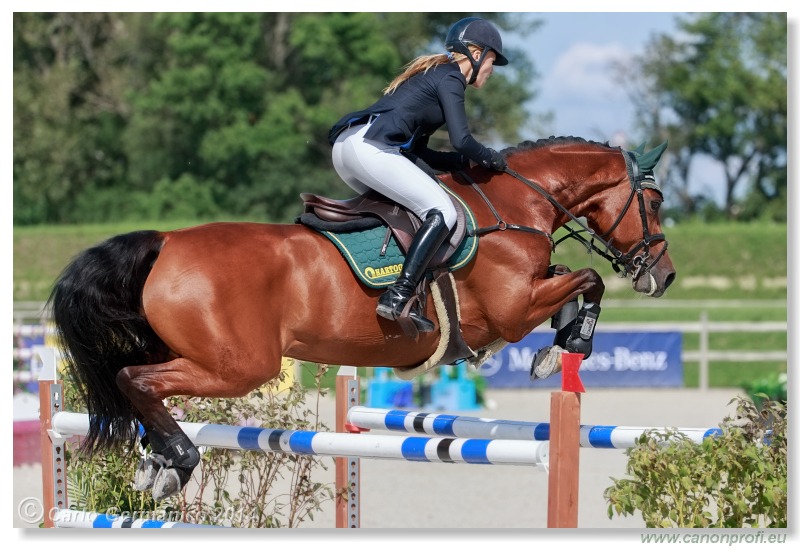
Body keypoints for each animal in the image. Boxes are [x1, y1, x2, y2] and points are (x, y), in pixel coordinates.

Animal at [48, 136, 676, 502]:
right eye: (657, 202)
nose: (664, 276)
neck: (512, 207)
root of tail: (166, 241)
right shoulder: (512, 309)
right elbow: (588, 279)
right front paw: (569, 344)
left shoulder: (526, 296)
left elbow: (574, 276)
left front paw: (560, 344)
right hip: (239, 366)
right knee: (134, 380)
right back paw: (178, 461)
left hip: (194, 353)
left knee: (139, 385)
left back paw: (157, 461)